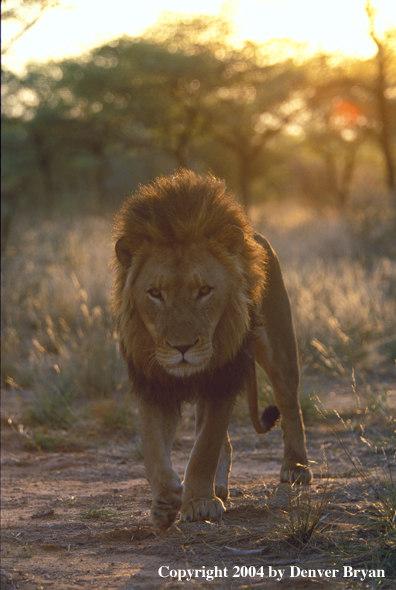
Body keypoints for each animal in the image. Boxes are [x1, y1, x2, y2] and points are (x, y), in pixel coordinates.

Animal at [112, 169, 312, 528]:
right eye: (155, 293)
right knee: (219, 438)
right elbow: (154, 448)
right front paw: (166, 501)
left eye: (204, 291)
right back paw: (217, 483)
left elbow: (205, 446)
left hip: (279, 350)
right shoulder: (154, 384)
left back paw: (296, 467)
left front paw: (200, 503)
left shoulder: (222, 376)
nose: (182, 348)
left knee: (290, 407)